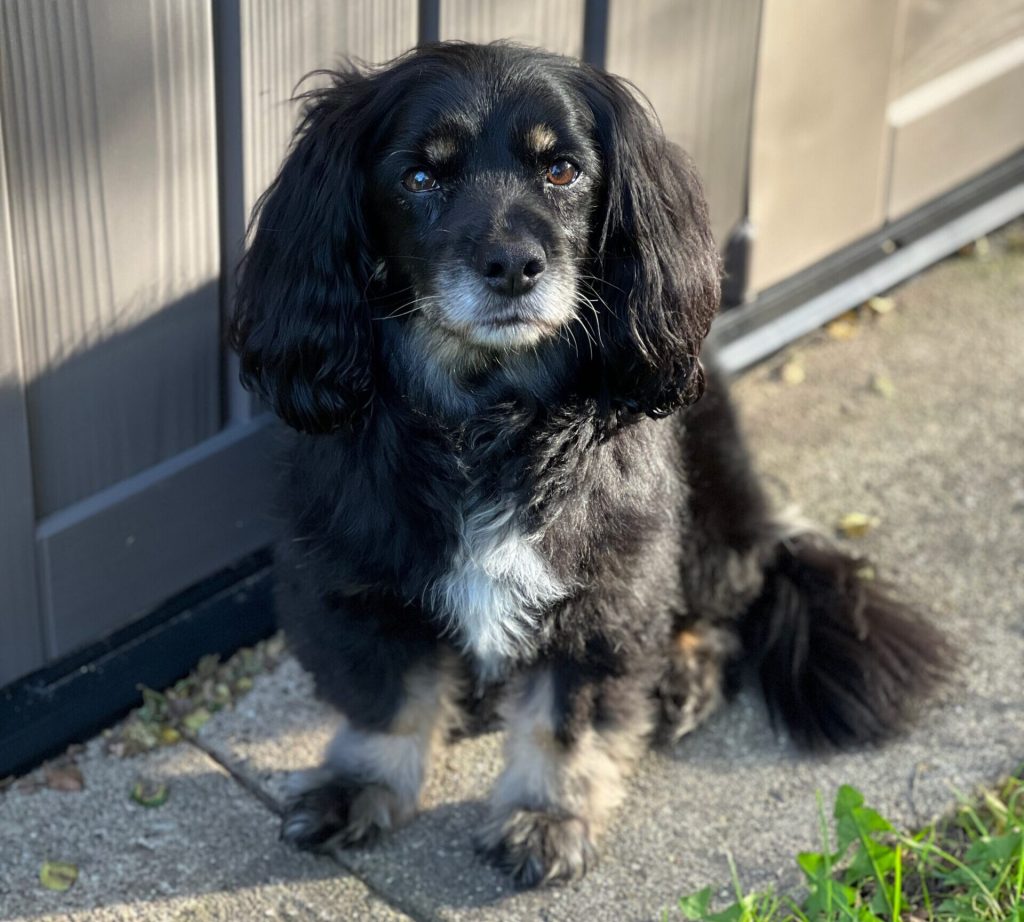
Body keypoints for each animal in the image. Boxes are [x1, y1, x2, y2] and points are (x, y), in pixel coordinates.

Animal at [230, 43, 942, 885]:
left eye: (563, 170)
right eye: (420, 178)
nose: (513, 265)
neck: (487, 419)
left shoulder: (604, 591)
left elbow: (566, 720)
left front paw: (548, 815)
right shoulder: (357, 582)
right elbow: (385, 704)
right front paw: (359, 787)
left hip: (706, 526)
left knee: (726, 605)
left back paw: (682, 678)